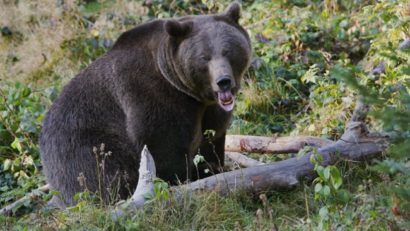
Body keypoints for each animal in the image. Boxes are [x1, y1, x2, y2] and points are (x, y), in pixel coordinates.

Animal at [41, 2, 251, 208]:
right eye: (204, 57)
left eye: (228, 51)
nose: (223, 81)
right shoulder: (151, 95)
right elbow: (163, 145)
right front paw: (182, 180)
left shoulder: (210, 110)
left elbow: (212, 139)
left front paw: (213, 169)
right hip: (82, 142)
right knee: (100, 173)